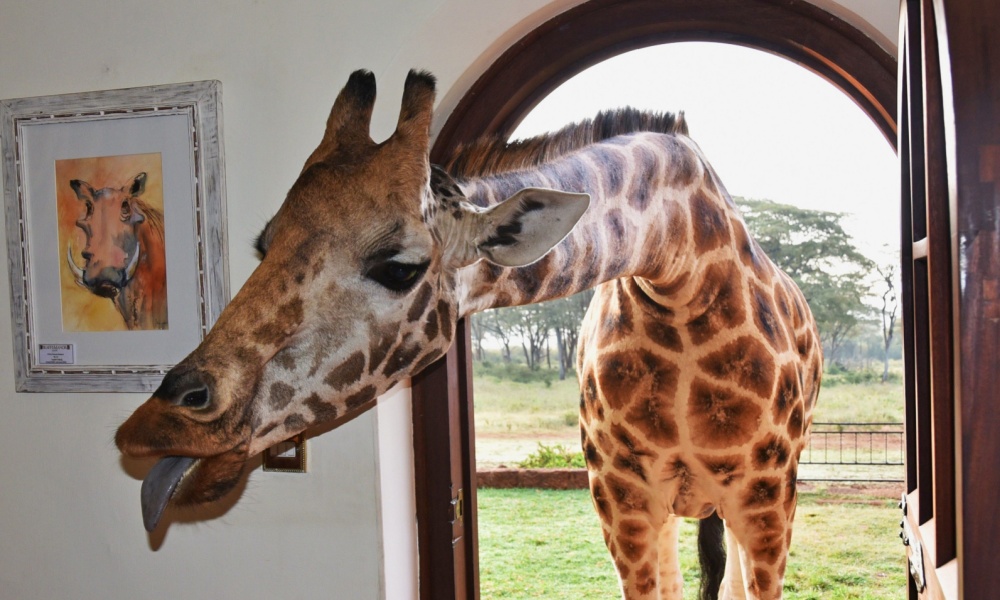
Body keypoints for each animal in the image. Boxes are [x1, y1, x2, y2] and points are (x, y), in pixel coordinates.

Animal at [117, 68, 820, 596]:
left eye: (398, 267)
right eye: (264, 245)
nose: (151, 428)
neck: (678, 273)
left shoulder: (767, 499)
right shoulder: (621, 496)